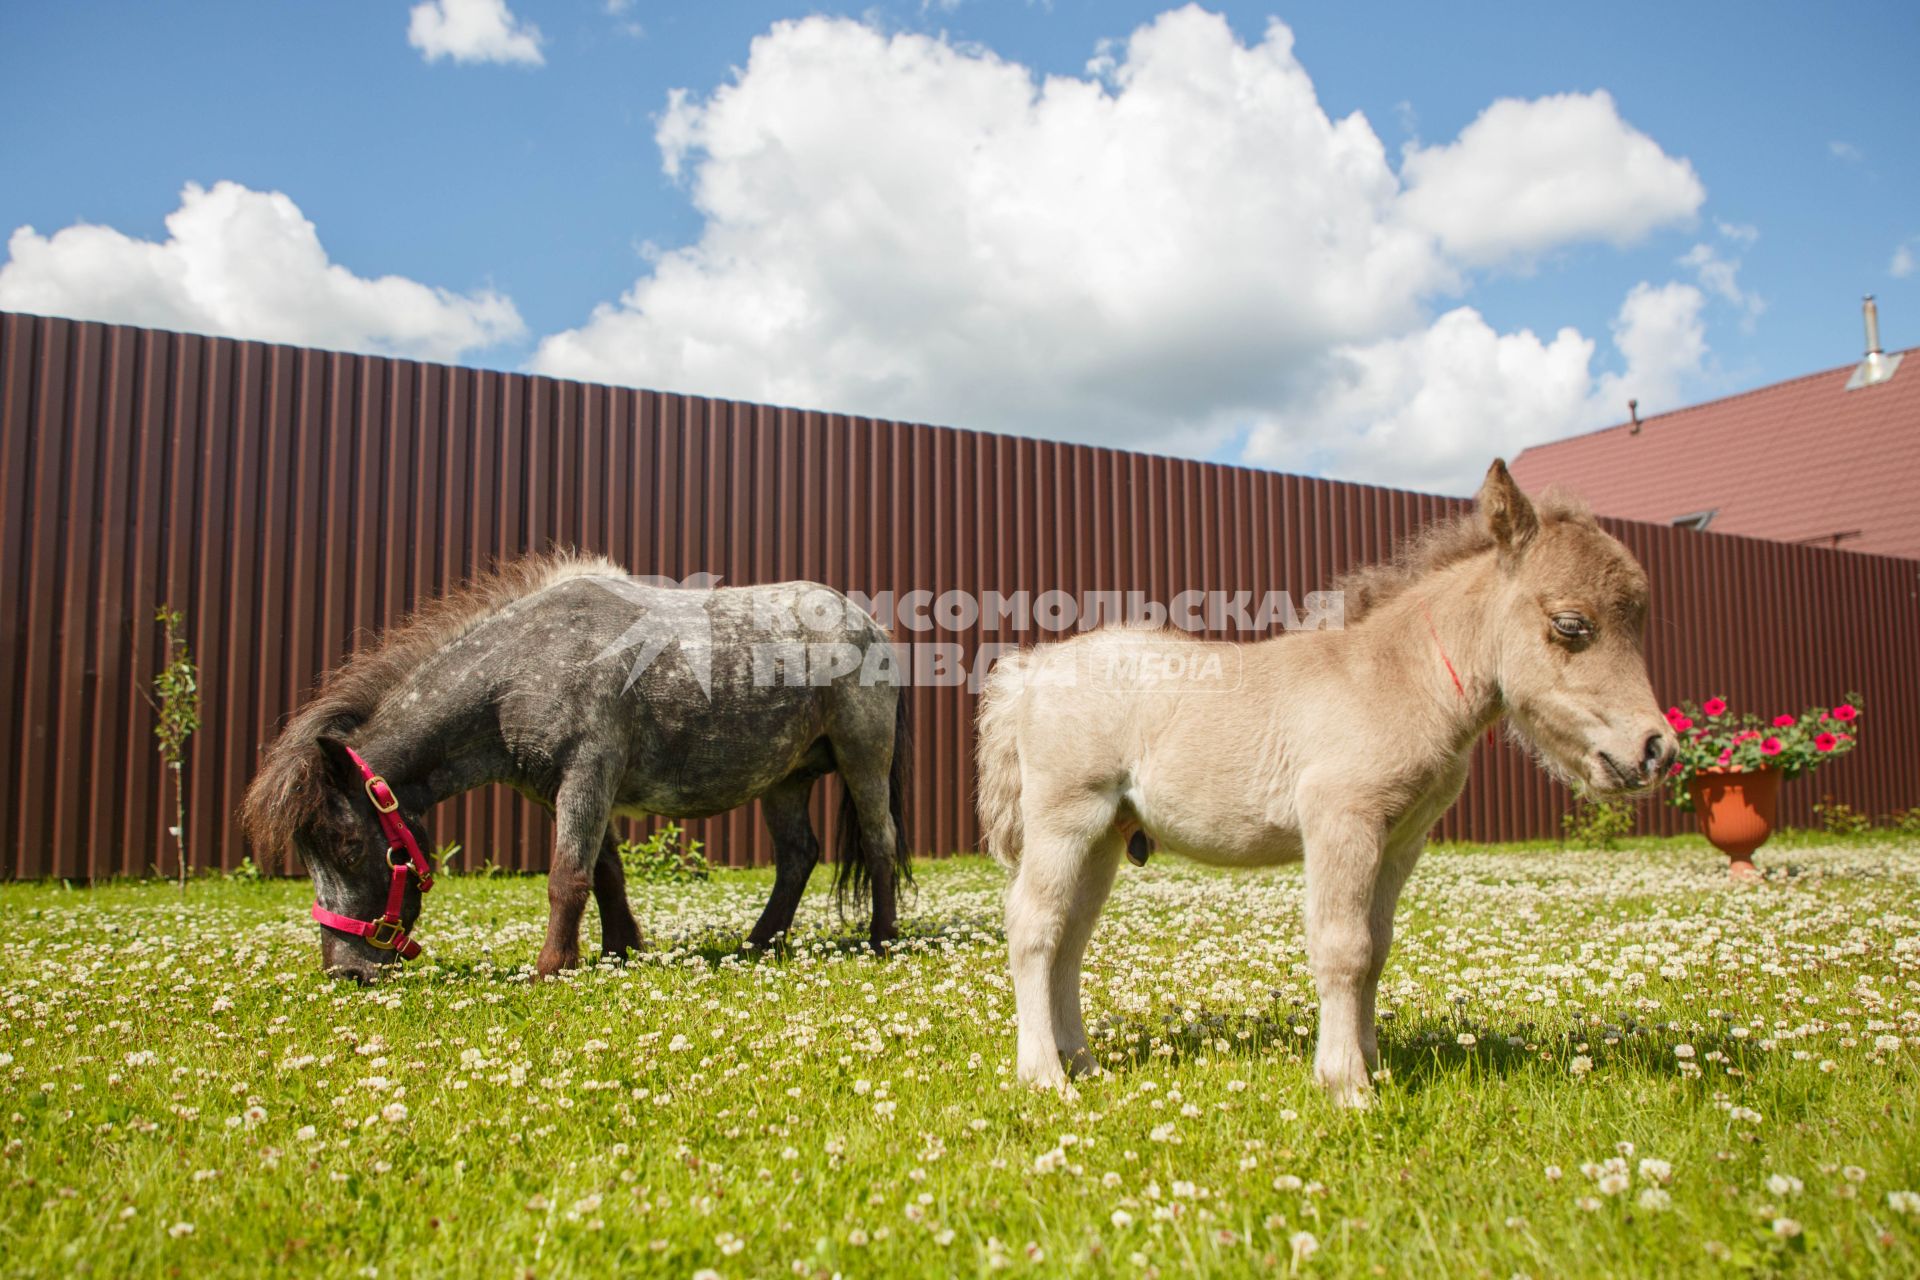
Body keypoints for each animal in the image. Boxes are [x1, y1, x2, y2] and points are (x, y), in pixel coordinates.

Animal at [243, 552, 910, 982]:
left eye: (350, 847)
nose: (345, 971)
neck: (526, 664)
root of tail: (868, 625)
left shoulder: (587, 775)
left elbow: (567, 878)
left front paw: (550, 969)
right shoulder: (567, 790)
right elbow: (605, 874)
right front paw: (619, 951)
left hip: (863, 759)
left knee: (879, 842)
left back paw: (882, 940)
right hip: (783, 779)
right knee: (798, 856)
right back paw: (757, 944)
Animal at [983, 462, 1674, 1113]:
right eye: (1571, 624)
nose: (1656, 749)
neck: (1395, 679)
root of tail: (1031, 671)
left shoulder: (1401, 841)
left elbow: (1377, 949)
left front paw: (1374, 1066)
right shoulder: (1343, 820)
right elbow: (1344, 947)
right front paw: (1347, 1084)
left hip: (1104, 838)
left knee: (1071, 938)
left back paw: (1085, 1064)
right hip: (1065, 820)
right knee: (1034, 928)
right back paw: (1045, 1076)